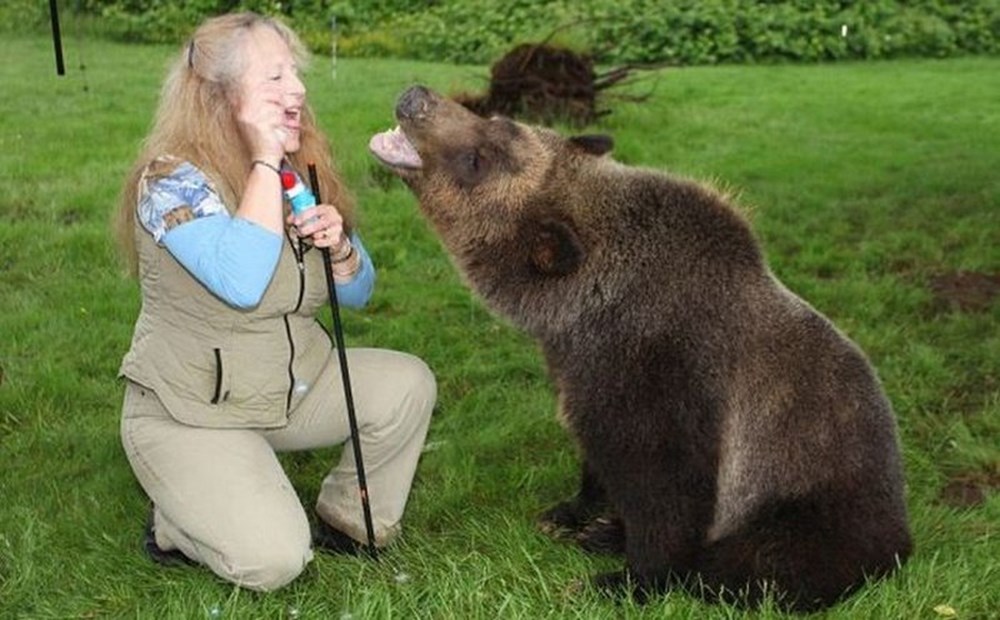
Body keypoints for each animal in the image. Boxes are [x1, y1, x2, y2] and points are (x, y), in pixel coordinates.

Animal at [370, 85, 916, 612]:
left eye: (478, 157)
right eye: (495, 121)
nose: (416, 97)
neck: (578, 315)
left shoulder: (666, 375)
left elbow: (665, 488)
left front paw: (623, 578)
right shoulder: (581, 372)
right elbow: (596, 455)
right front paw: (573, 514)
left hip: (813, 499)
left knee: (767, 560)